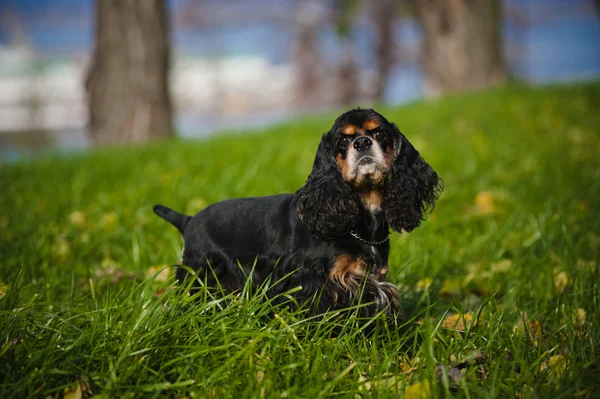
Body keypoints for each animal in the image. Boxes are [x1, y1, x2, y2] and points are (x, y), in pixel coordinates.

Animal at [155, 108, 440, 320]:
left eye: (379, 133)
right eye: (343, 140)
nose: (362, 143)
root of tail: (189, 220)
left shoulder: (375, 281)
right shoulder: (318, 282)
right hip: (199, 275)